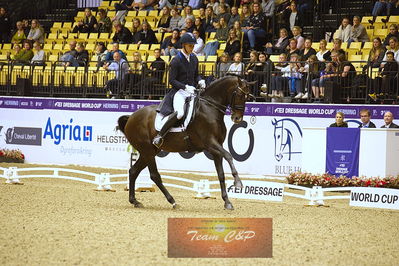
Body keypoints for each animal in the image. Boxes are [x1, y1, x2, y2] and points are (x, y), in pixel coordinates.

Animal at [119, 75, 256, 210]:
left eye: (247, 97)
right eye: (239, 95)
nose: (237, 118)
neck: (210, 109)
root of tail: (131, 117)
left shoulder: (216, 148)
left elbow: (221, 174)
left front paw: (227, 202)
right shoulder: (210, 143)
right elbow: (229, 155)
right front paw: (238, 182)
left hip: (149, 152)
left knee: (133, 171)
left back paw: (134, 201)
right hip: (148, 151)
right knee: (154, 175)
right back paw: (173, 201)